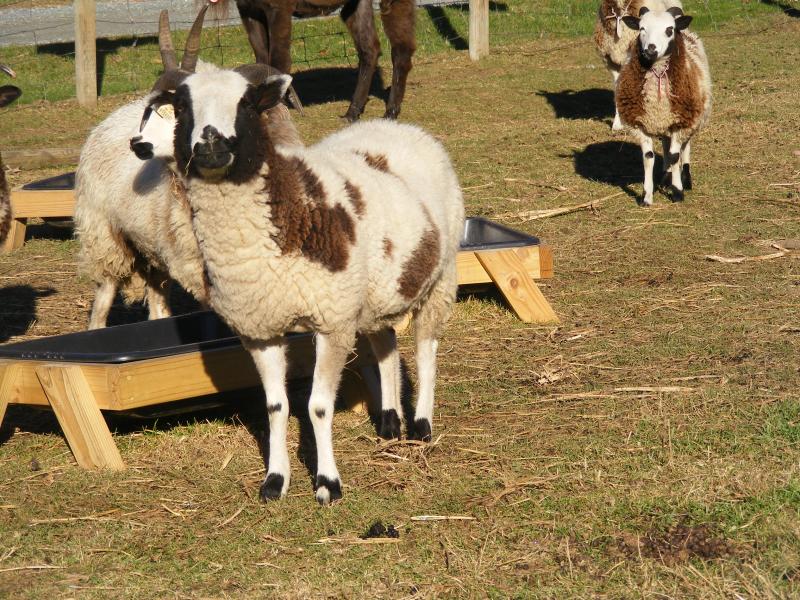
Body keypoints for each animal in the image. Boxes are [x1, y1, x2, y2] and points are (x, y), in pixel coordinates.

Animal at [75, 8, 302, 329]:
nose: (137, 142)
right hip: (103, 235)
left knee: (157, 301)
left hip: (154, 248)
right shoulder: (198, 268)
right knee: (104, 294)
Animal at [140, 67, 464, 504]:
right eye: (182, 107)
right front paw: (275, 481)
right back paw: (390, 423)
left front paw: (327, 483)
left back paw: (422, 426)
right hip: (375, 294)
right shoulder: (260, 329)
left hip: (441, 278)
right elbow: (276, 406)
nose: (210, 145)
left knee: (426, 350)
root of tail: (401, 127)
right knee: (386, 346)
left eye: (247, 103)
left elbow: (318, 406)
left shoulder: (333, 322)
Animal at [211, 0, 416, 121]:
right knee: (370, 49)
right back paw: (352, 113)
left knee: (401, 50)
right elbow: (261, 59)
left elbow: (278, 61)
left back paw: (390, 112)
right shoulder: (248, 8)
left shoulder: (278, 7)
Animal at [616, 6, 711, 206]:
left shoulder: (681, 122)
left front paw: (677, 192)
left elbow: (676, 157)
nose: (650, 50)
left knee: (684, 149)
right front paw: (647, 196)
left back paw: (686, 179)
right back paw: (665, 177)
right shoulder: (640, 124)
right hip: (665, 123)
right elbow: (648, 158)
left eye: (669, 30)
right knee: (667, 147)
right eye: (641, 28)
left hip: (690, 118)